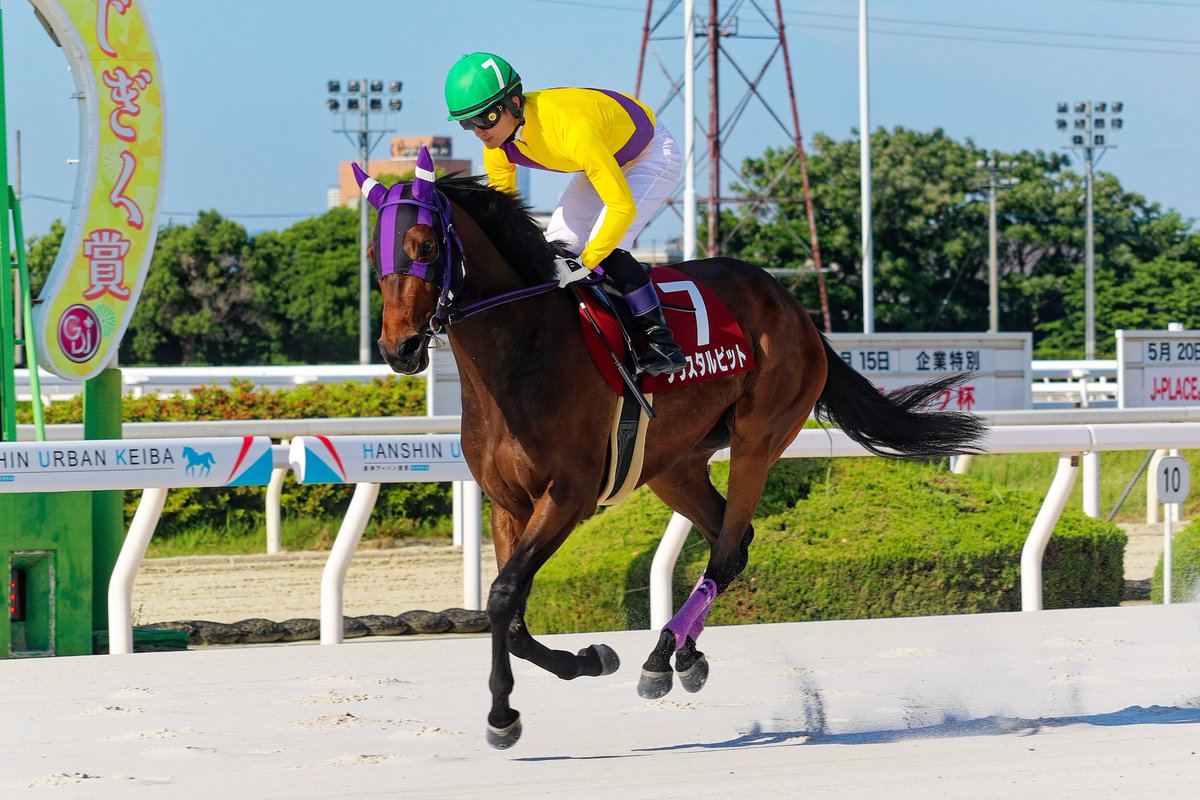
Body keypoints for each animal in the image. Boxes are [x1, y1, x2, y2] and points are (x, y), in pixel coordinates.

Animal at [353, 146, 985, 749]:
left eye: (425, 244)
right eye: (373, 258)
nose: (398, 348)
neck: (522, 353)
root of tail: (794, 306)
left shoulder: (568, 496)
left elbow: (505, 595)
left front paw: (503, 715)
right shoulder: (508, 502)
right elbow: (507, 613)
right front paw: (588, 659)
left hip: (759, 435)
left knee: (727, 548)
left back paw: (660, 658)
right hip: (672, 466)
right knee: (734, 542)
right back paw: (683, 653)